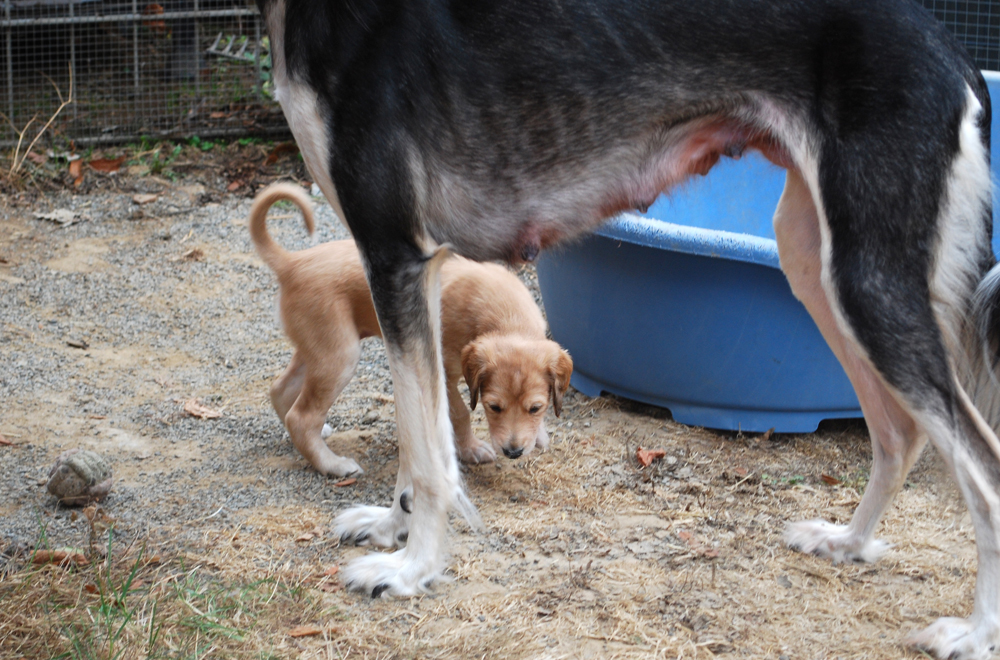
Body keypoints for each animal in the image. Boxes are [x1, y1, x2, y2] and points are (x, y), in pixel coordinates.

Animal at [250, 183, 573, 478]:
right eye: (494, 407)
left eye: (535, 408)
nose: (514, 452)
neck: (506, 315)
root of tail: (293, 263)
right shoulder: (442, 373)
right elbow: (460, 413)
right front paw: (470, 449)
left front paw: (538, 434)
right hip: (339, 357)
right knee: (301, 417)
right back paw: (333, 465)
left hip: (318, 347)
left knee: (281, 391)